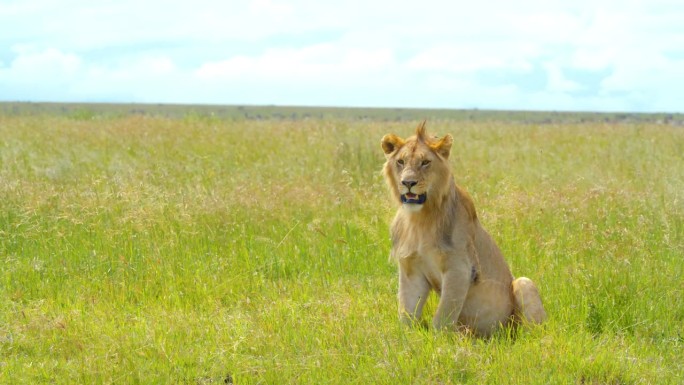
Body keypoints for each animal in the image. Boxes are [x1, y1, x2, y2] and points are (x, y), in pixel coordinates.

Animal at [380, 121, 544, 334]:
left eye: (425, 162)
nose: (408, 183)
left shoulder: (460, 268)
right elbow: (406, 312)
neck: (421, 219)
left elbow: (443, 315)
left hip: (524, 285)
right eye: (401, 161)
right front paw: (407, 338)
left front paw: (438, 340)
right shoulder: (411, 269)